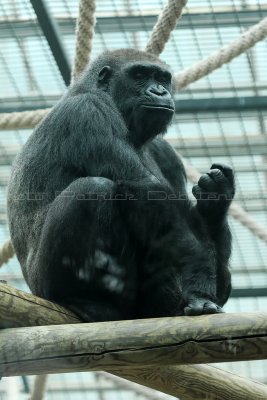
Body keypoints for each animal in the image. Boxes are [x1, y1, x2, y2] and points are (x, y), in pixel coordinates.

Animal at [7, 49, 236, 322]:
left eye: (163, 78)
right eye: (139, 75)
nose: (160, 91)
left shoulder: (166, 153)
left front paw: (216, 202)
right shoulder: (87, 112)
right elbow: (147, 193)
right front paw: (198, 282)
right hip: (41, 287)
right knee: (93, 190)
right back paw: (83, 299)